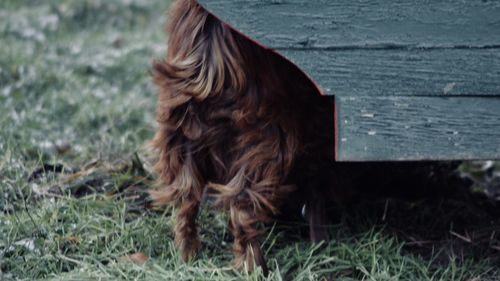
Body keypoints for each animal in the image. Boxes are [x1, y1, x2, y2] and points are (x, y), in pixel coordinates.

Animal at [149, 0, 336, 272]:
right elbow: (316, 191)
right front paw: (321, 243)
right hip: (267, 142)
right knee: (241, 206)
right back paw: (255, 267)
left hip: (180, 137)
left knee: (186, 199)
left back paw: (188, 256)